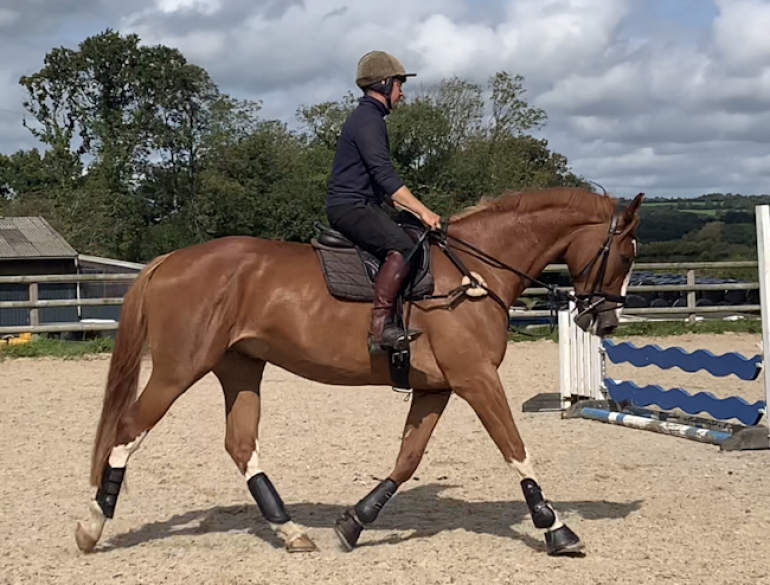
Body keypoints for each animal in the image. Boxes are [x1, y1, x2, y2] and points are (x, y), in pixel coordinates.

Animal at [75, 186, 643, 557]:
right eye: (623, 253)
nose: (605, 321)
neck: (474, 272)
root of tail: (169, 260)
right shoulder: (476, 378)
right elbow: (516, 449)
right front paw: (556, 528)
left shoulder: (438, 388)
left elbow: (408, 459)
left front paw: (355, 522)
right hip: (178, 370)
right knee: (128, 430)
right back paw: (92, 526)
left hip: (240, 368)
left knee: (240, 444)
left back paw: (290, 531)